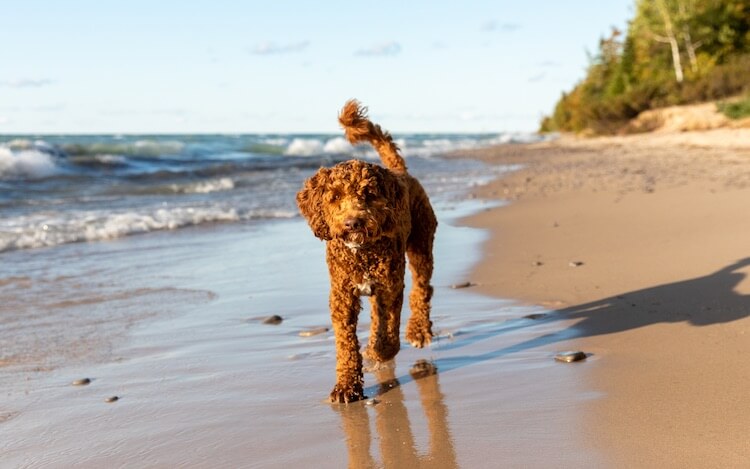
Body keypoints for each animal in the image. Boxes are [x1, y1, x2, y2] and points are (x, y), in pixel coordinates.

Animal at [298, 99, 440, 402]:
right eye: (335, 196)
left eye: (369, 194)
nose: (353, 222)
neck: (360, 253)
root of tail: (400, 172)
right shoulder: (342, 295)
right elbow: (346, 343)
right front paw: (346, 385)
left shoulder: (391, 286)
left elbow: (390, 328)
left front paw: (381, 350)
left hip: (421, 246)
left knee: (422, 288)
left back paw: (418, 331)